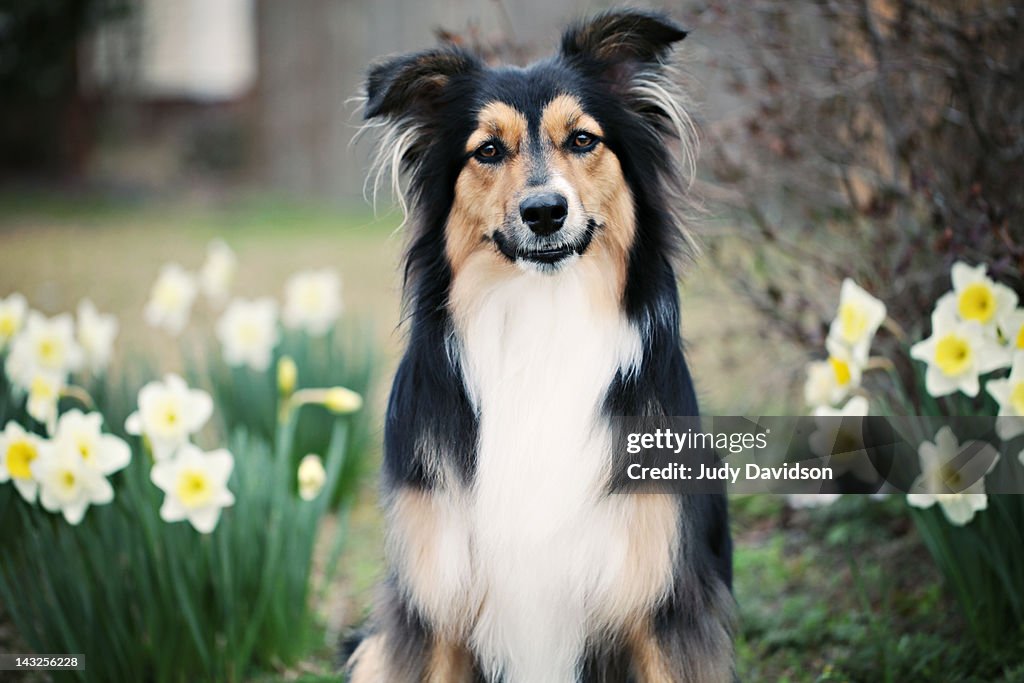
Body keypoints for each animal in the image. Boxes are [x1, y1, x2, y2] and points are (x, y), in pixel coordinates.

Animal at [348, 10, 733, 683]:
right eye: (487, 150)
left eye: (582, 140)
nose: (545, 211)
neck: (541, 321)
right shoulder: (436, 607)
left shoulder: (660, 608)